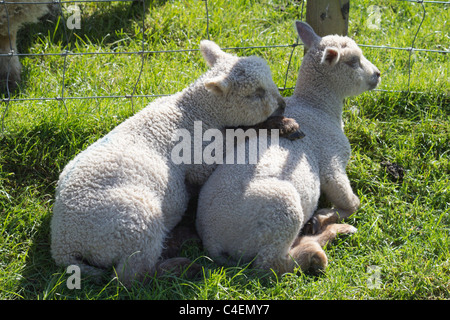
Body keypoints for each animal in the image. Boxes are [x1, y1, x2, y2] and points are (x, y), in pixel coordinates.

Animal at [50, 40, 288, 288]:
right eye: (256, 93)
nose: (282, 104)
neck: (193, 111)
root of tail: (64, 245)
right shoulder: (202, 156)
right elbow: (240, 136)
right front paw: (279, 125)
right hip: (133, 226)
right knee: (131, 276)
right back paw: (182, 268)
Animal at [196, 21, 380, 274]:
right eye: (353, 61)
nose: (377, 75)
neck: (316, 107)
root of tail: (212, 241)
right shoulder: (331, 159)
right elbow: (352, 203)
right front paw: (326, 215)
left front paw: (324, 217)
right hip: (281, 212)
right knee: (273, 264)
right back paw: (320, 245)